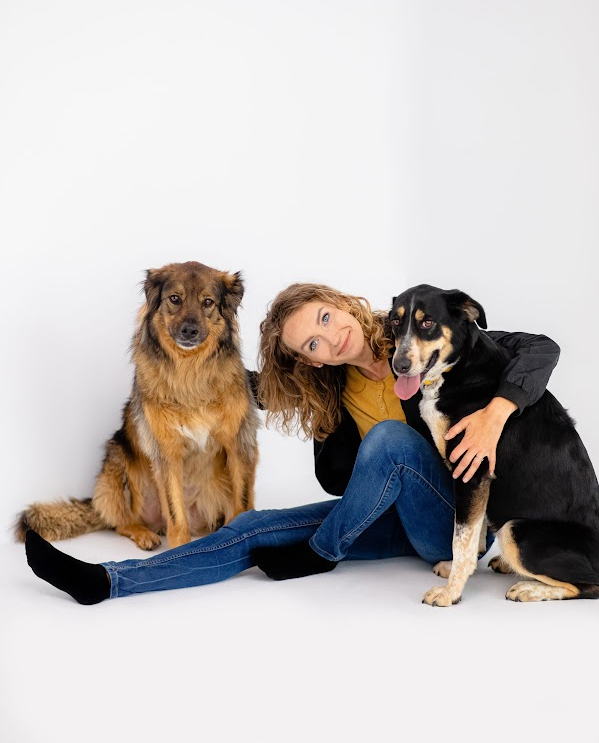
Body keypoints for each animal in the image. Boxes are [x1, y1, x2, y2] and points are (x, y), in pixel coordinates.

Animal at [15, 261, 259, 550]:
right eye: (174, 299)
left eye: (208, 302)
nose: (189, 331)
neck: (190, 372)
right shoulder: (166, 451)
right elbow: (176, 514)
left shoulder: (239, 444)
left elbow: (242, 504)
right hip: (116, 464)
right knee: (122, 522)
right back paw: (144, 535)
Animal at [390, 284, 599, 605]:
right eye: (395, 322)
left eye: (428, 323)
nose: (399, 366)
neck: (458, 369)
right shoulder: (473, 475)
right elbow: (472, 533)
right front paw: (457, 571)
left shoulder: (472, 471)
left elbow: (460, 537)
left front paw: (451, 592)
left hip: (516, 529)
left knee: (588, 586)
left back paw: (528, 588)